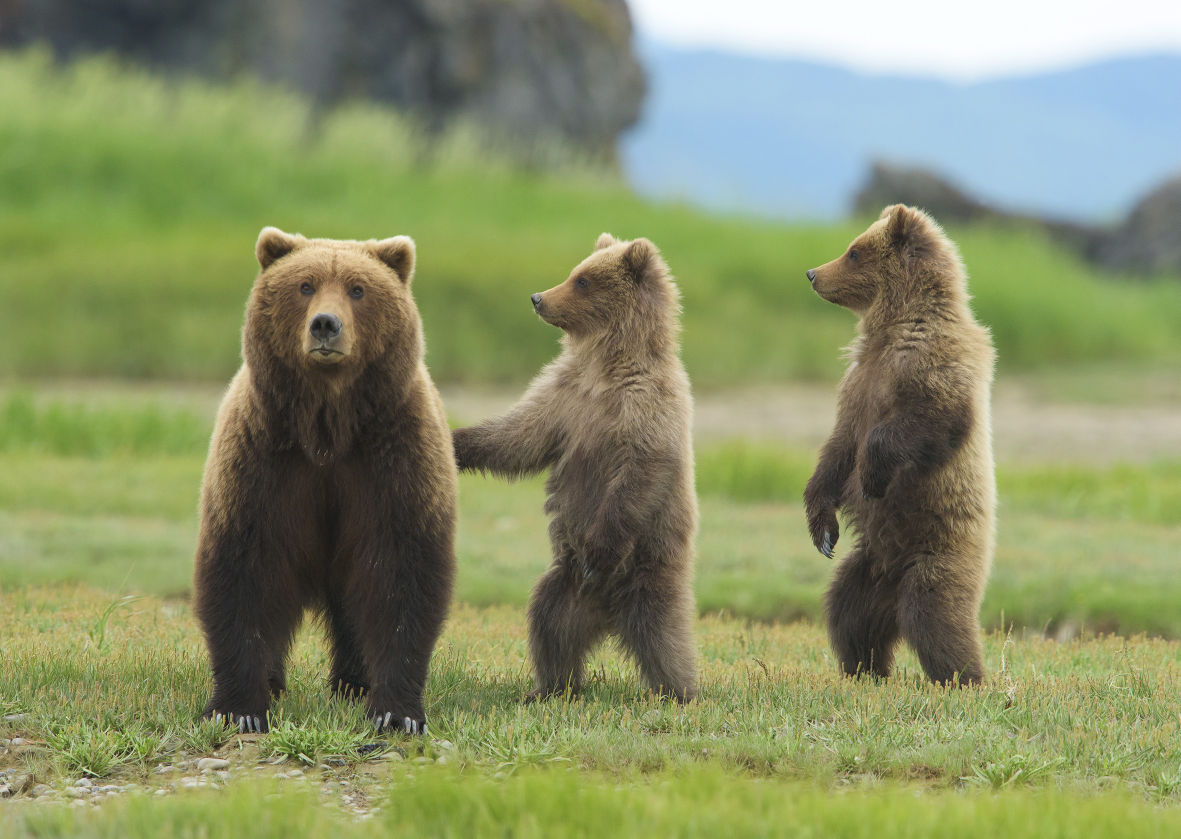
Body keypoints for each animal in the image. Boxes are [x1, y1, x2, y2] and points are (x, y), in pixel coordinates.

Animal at [193, 226, 457, 734]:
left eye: (358, 289)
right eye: (305, 285)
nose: (325, 326)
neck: (327, 428)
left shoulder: (392, 462)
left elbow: (400, 574)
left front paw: (396, 712)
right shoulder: (265, 462)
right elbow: (245, 569)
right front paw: (239, 708)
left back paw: (353, 682)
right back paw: (278, 680)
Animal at [452, 233, 699, 702]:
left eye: (583, 280)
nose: (538, 298)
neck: (605, 365)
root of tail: (607, 613)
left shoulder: (647, 406)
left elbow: (640, 471)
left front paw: (599, 551)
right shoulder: (565, 397)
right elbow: (519, 436)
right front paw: (457, 442)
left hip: (651, 570)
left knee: (665, 636)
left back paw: (680, 691)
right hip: (564, 586)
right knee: (549, 623)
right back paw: (549, 687)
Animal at [803, 204, 995, 686]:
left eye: (853, 251)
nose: (812, 273)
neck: (892, 327)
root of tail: (893, 580)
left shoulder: (931, 363)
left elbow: (929, 421)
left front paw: (872, 475)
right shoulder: (857, 385)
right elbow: (838, 448)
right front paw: (822, 529)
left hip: (939, 553)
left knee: (936, 615)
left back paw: (966, 678)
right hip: (867, 567)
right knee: (848, 612)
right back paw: (865, 668)